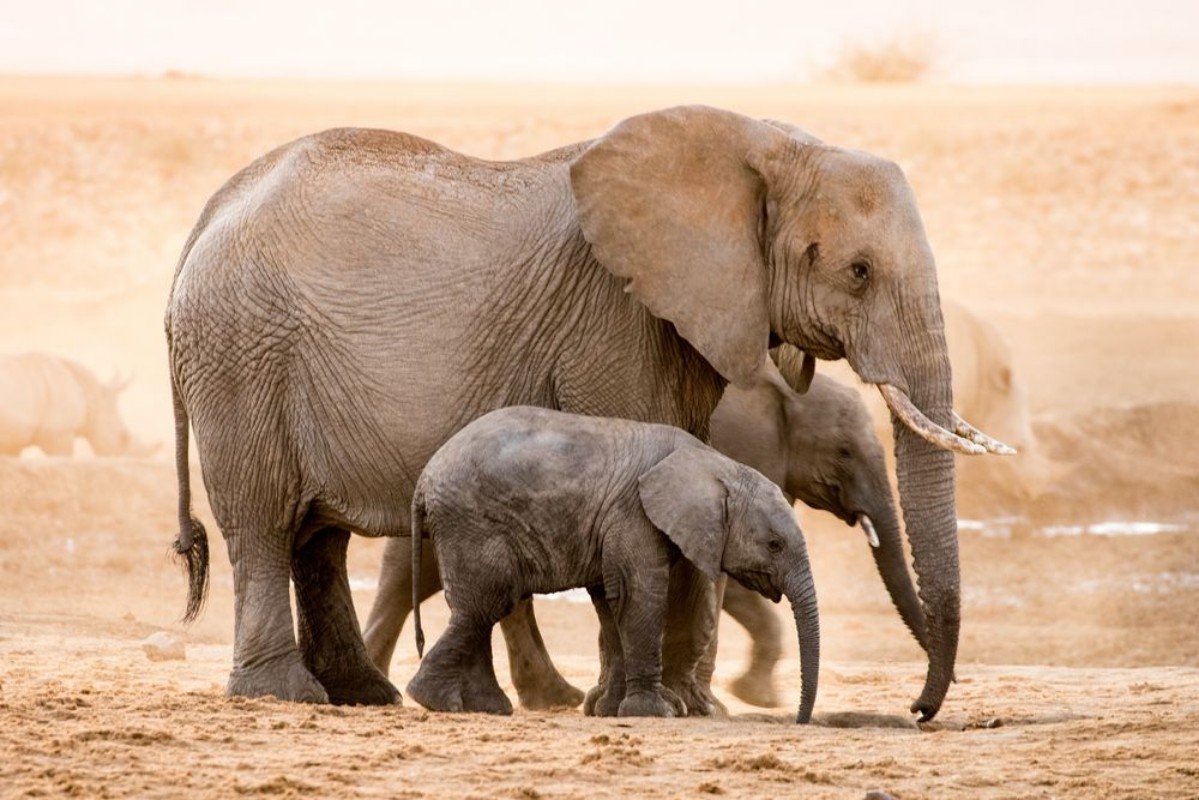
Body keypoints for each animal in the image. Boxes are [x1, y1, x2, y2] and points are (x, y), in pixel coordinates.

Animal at [404, 406, 820, 723]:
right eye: (774, 544)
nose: (799, 720)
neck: (716, 464)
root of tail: (423, 481)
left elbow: (611, 601)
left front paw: (609, 711)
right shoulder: (633, 514)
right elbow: (639, 595)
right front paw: (657, 713)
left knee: (479, 609)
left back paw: (482, 708)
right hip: (473, 523)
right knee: (486, 603)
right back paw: (434, 700)